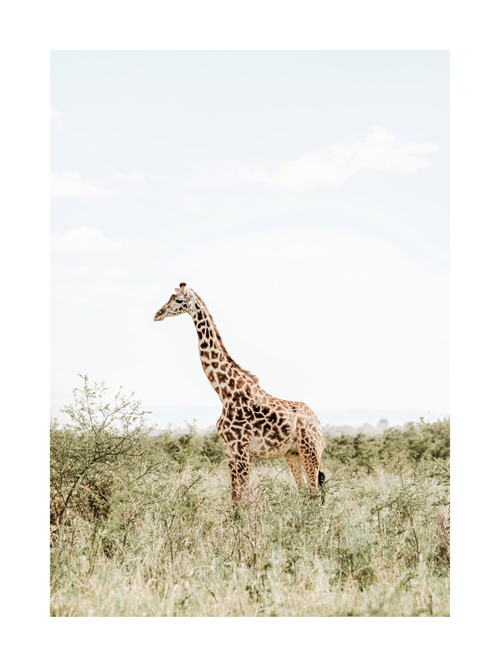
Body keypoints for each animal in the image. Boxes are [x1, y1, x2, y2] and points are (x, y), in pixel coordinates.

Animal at [154, 283, 325, 504]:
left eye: (179, 300)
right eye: (170, 296)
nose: (158, 314)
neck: (225, 393)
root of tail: (318, 424)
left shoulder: (242, 447)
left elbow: (244, 496)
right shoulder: (229, 448)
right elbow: (235, 496)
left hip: (310, 450)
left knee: (315, 493)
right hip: (293, 453)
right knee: (304, 492)